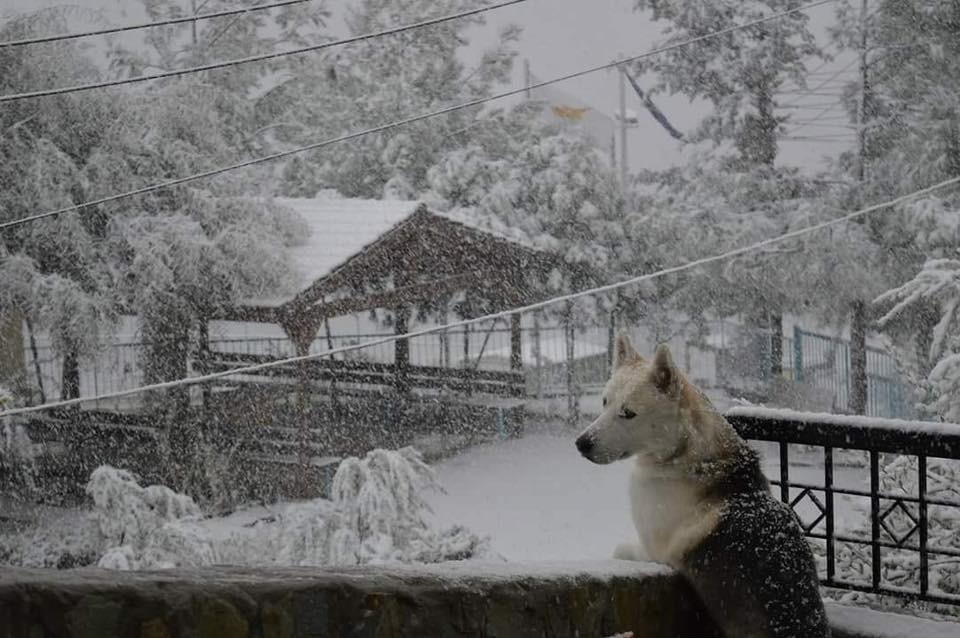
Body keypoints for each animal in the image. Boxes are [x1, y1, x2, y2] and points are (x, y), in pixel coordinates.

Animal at [572, 338, 828, 636]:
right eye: (605, 402)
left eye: (628, 413)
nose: (581, 443)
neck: (682, 451)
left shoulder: (653, 552)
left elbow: (619, 549)